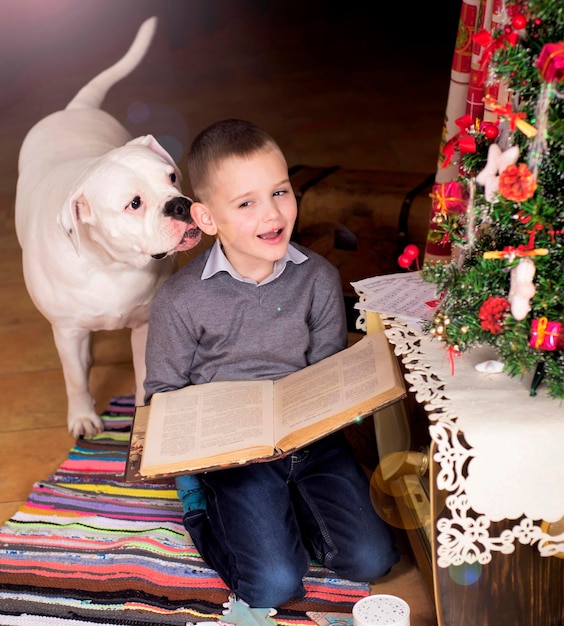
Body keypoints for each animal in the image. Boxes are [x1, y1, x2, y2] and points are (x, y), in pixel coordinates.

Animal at [14, 17, 200, 436]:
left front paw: (146, 408)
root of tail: (74, 108)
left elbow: (146, 368)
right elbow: (73, 378)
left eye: (172, 177)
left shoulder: (146, 323)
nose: (179, 205)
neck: (112, 264)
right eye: (134, 204)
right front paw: (84, 416)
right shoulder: (68, 330)